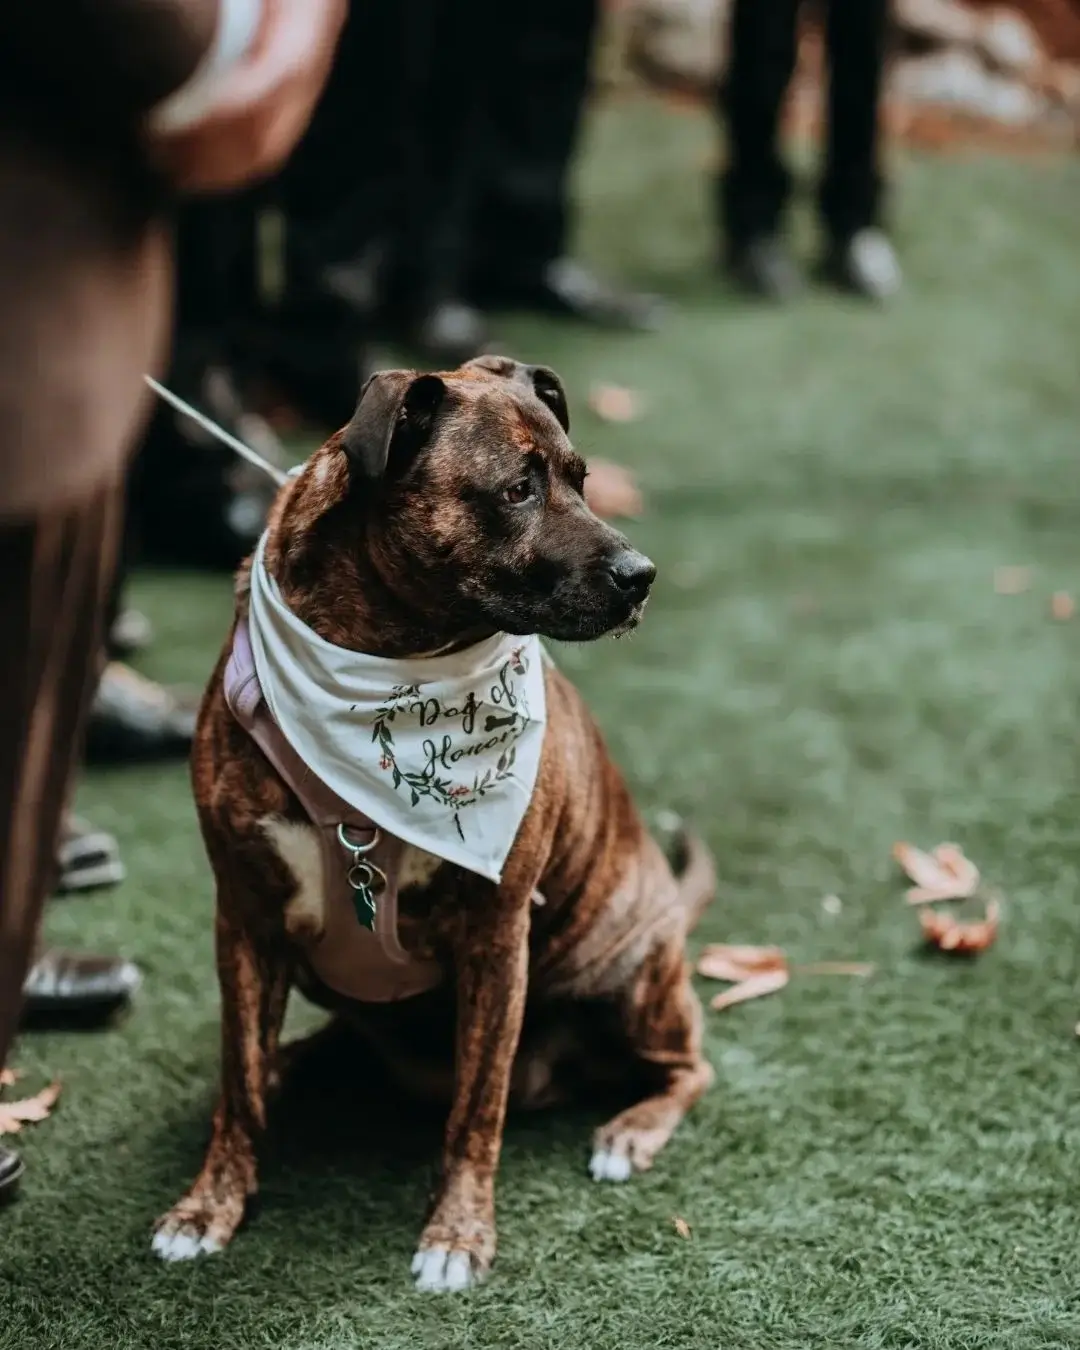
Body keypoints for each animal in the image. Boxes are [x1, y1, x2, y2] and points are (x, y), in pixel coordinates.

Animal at [151, 356, 718, 1285]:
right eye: (519, 488)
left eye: (582, 479)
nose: (643, 575)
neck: (388, 665)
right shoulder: (245, 918)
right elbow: (237, 1083)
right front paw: (210, 1206)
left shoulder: (494, 936)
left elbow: (476, 1107)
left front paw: (456, 1233)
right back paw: (293, 1065)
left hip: (629, 970)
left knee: (686, 1068)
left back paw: (630, 1132)